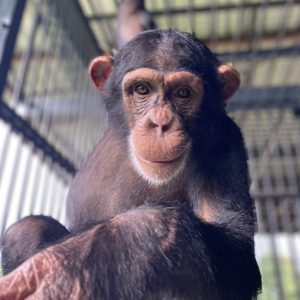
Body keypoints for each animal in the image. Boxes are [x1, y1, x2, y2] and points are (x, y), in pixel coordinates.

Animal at [0, 28, 260, 300]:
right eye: (142, 89)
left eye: (183, 93)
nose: (161, 122)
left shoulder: (226, 144)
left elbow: (237, 247)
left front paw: (65, 268)